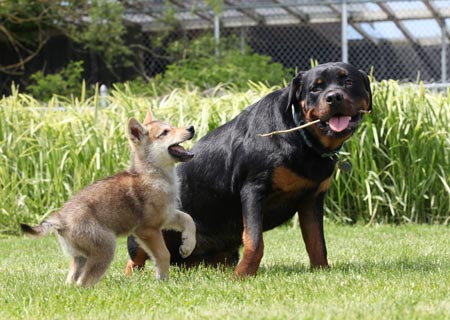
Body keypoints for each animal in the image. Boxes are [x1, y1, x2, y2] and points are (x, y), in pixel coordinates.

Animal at [20, 110, 195, 288]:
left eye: (172, 126)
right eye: (165, 132)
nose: (191, 128)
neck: (153, 173)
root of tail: (60, 220)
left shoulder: (166, 215)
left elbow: (189, 220)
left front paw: (187, 245)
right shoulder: (148, 229)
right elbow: (164, 254)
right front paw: (163, 280)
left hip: (81, 257)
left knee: (72, 282)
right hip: (106, 248)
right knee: (83, 283)